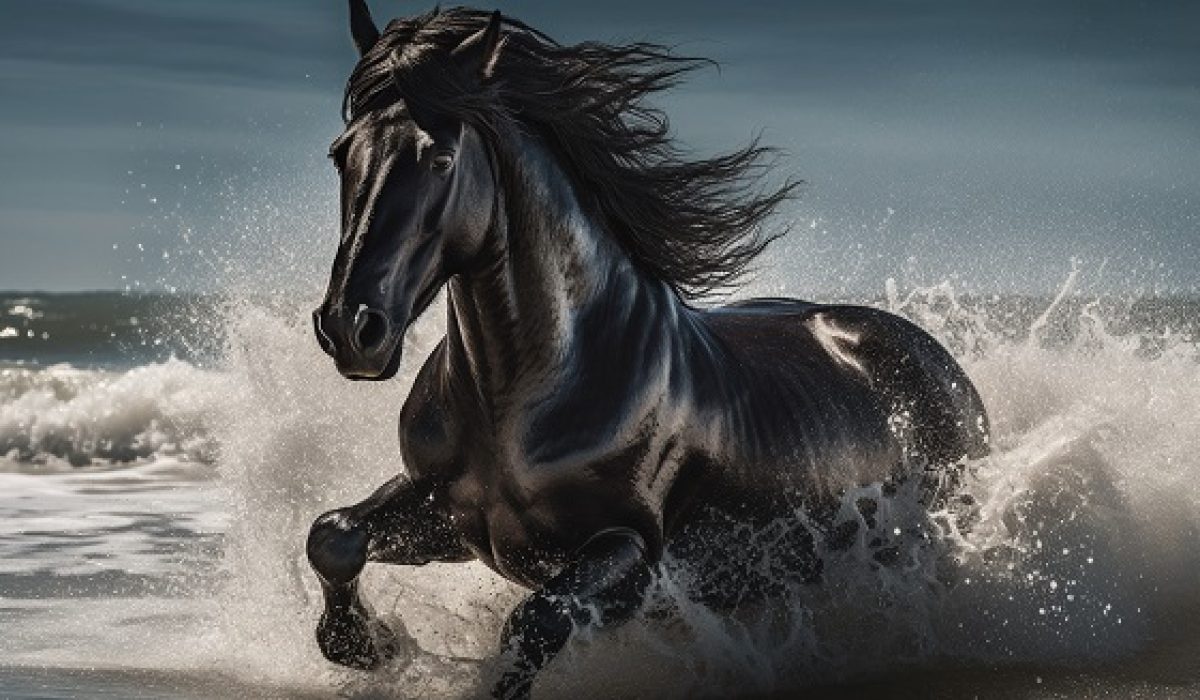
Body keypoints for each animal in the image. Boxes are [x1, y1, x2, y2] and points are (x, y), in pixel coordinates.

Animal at [307, 4, 990, 697]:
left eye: (441, 158)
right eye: (341, 155)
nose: (351, 328)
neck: (530, 398)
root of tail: (942, 364)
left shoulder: (636, 557)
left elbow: (534, 623)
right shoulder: (449, 515)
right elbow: (333, 536)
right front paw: (363, 645)